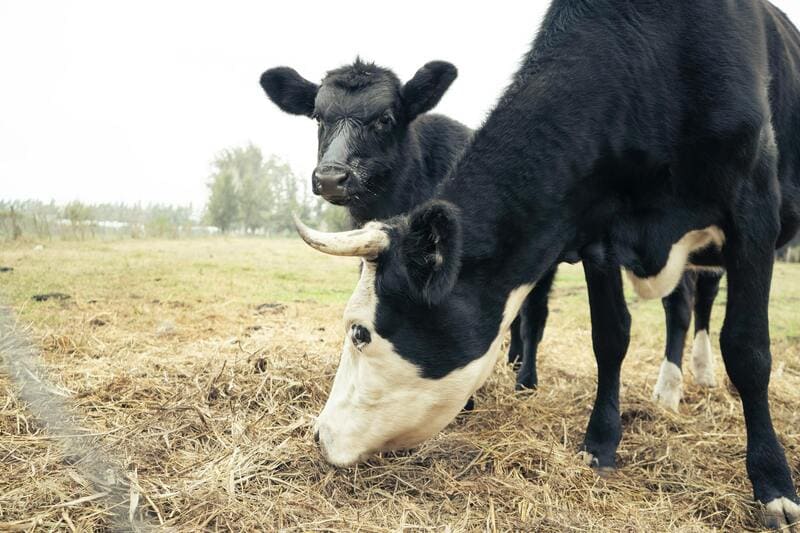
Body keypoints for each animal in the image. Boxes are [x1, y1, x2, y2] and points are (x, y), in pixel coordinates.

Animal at [294, 0, 800, 527]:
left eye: (360, 332)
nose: (319, 434)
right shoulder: (600, 231)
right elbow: (610, 338)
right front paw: (600, 445)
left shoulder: (753, 211)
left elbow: (747, 348)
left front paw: (773, 483)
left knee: (692, 308)